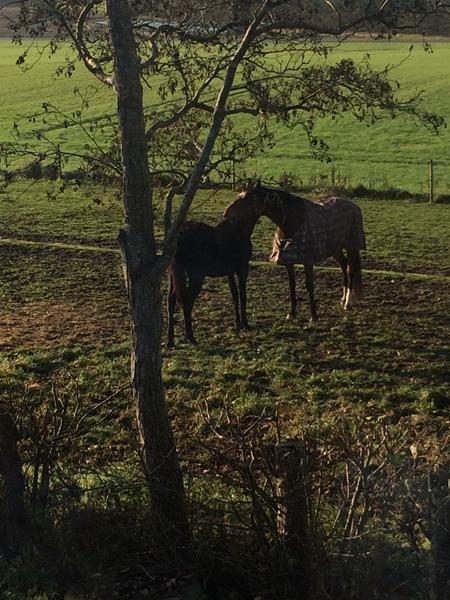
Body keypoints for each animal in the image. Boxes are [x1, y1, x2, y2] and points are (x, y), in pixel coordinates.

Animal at [167, 214, 258, 346]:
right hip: (195, 276)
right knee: (187, 302)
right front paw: (245, 324)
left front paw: (237, 322)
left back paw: (170, 340)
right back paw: (191, 337)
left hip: (173, 276)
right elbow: (242, 295)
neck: (239, 229)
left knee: (171, 300)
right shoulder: (242, 269)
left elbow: (235, 295)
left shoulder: (230, 272)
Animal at [223, 182, 368, 322]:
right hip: (335, 248)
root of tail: (353, 205)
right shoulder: (288, 260)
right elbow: (291, 285)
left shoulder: (307, 260)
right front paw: (292, 313)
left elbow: (309, 285)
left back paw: (347, 302)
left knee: (350, 269)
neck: (292, 221)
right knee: (344, 265)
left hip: (351, 246)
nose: (225, 214)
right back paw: (343, 299)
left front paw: (314, 316)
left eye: (245, 199)